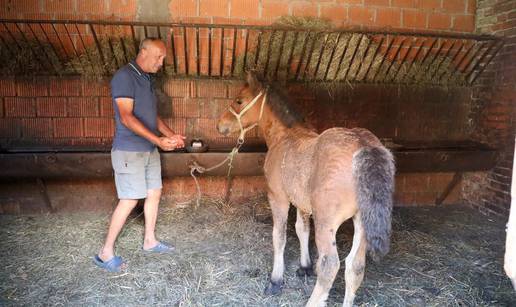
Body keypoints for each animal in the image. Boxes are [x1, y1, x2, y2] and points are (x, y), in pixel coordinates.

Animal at [218, 73, 396, 307]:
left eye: (239, 100)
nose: (220, 125)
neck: (284, 136)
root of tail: (363, 144)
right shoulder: (302, 203)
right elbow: (302, 230)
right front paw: (304, 267)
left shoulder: (278, 198)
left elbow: (279, 236)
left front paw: (276, 280)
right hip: (363, 220)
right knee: (355, 266)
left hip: (327, 223)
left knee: (331, 265)